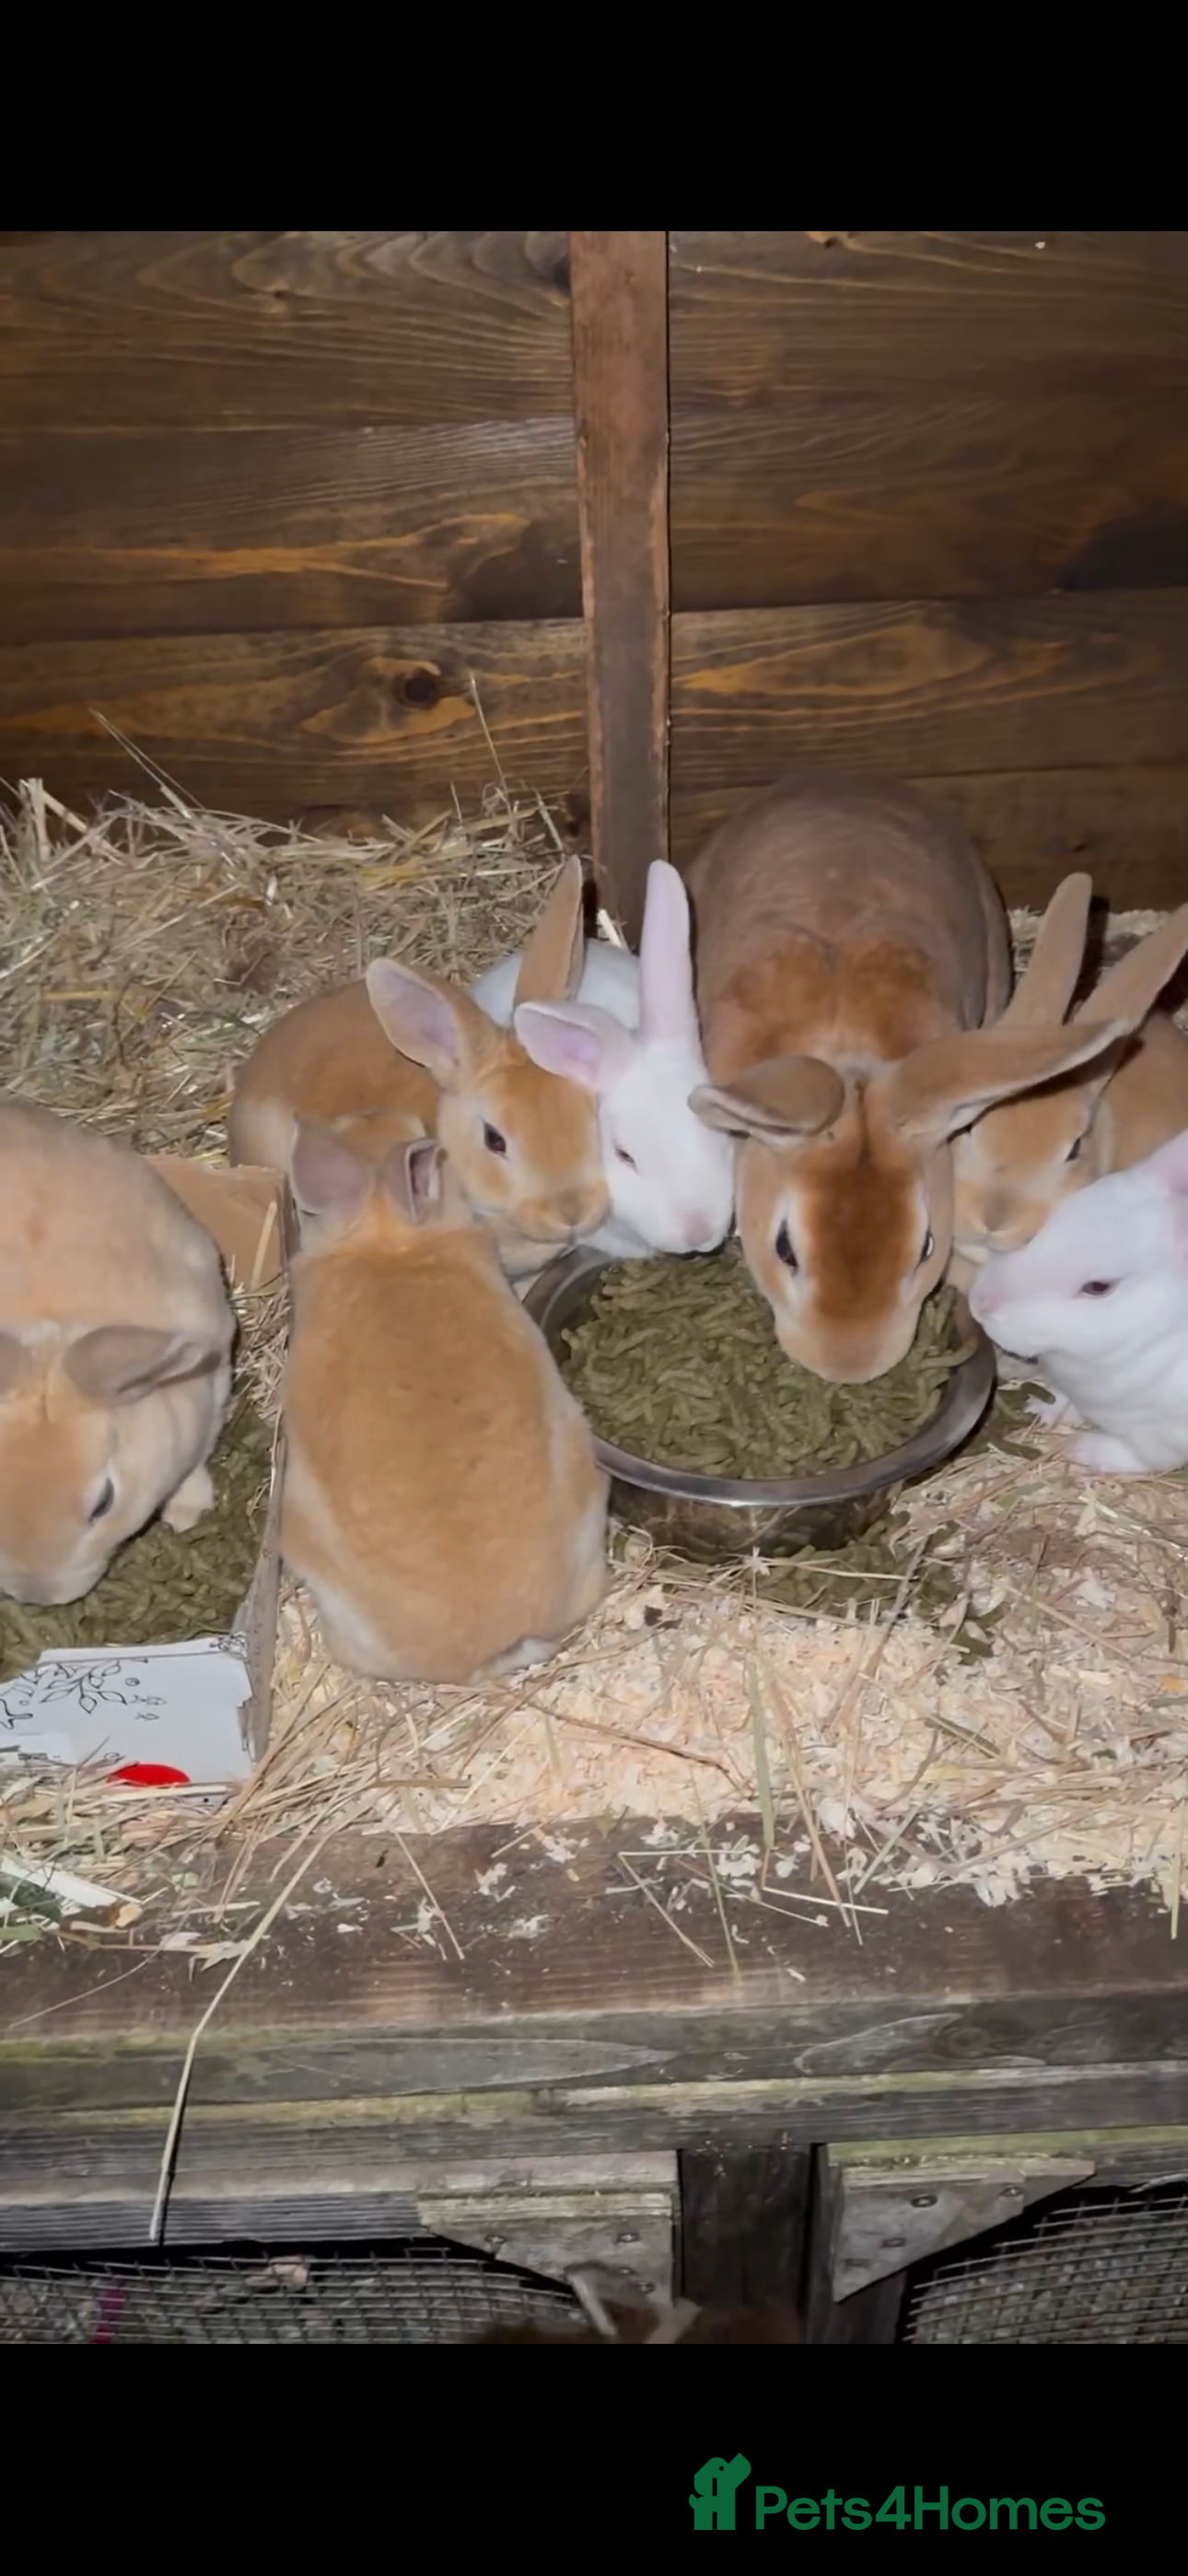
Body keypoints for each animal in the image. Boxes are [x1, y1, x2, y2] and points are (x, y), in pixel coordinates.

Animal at [969, 1125, 1188, 1474]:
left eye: (1098, 1287)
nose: (981, 1306)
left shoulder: (1162, 1437)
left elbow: (1140, 1456)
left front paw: (1081, 1449)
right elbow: (1062, 1400)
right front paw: (1040, 1409)